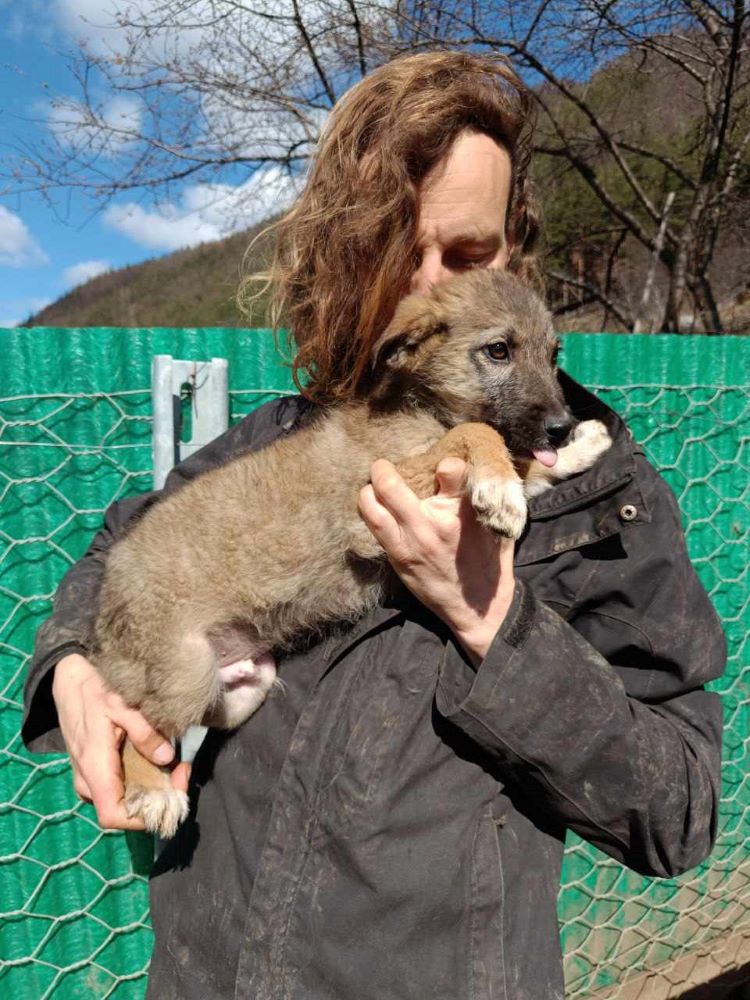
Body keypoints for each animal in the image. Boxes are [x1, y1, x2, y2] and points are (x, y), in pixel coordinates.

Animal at [91, 272, 612, 836]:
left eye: (554, 353)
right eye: (499, 350)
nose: (561, 426)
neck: (424, 407)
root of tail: (104, 616)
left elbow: (523, 460)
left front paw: (576, 449)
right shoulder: (365, 509)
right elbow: (477, 432)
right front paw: (499, 485)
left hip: (244, 683)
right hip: (186, 670)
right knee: (138, 730)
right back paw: (154, 791)